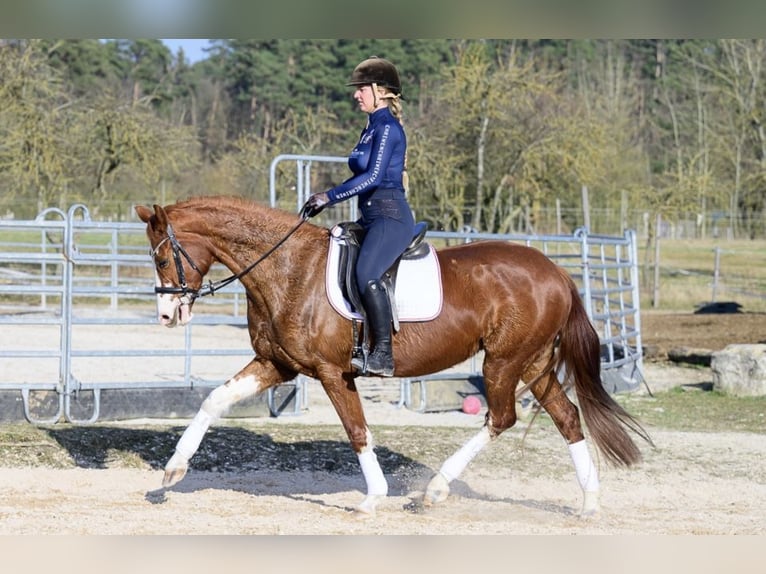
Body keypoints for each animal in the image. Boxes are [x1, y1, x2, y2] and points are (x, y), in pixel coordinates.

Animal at [135, 196, 652, 520]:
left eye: (160, 259)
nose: (166, 315)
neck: (287, 268)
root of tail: (558, 274)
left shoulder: (331, 372)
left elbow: (357, 430)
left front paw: (372, 498)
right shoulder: (276, 364)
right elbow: (214, 401)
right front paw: (171, 473)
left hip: (504, 362)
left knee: (501, 418)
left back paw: (434, 490)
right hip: (534, 364)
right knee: (567, 418)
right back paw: (588, 504)